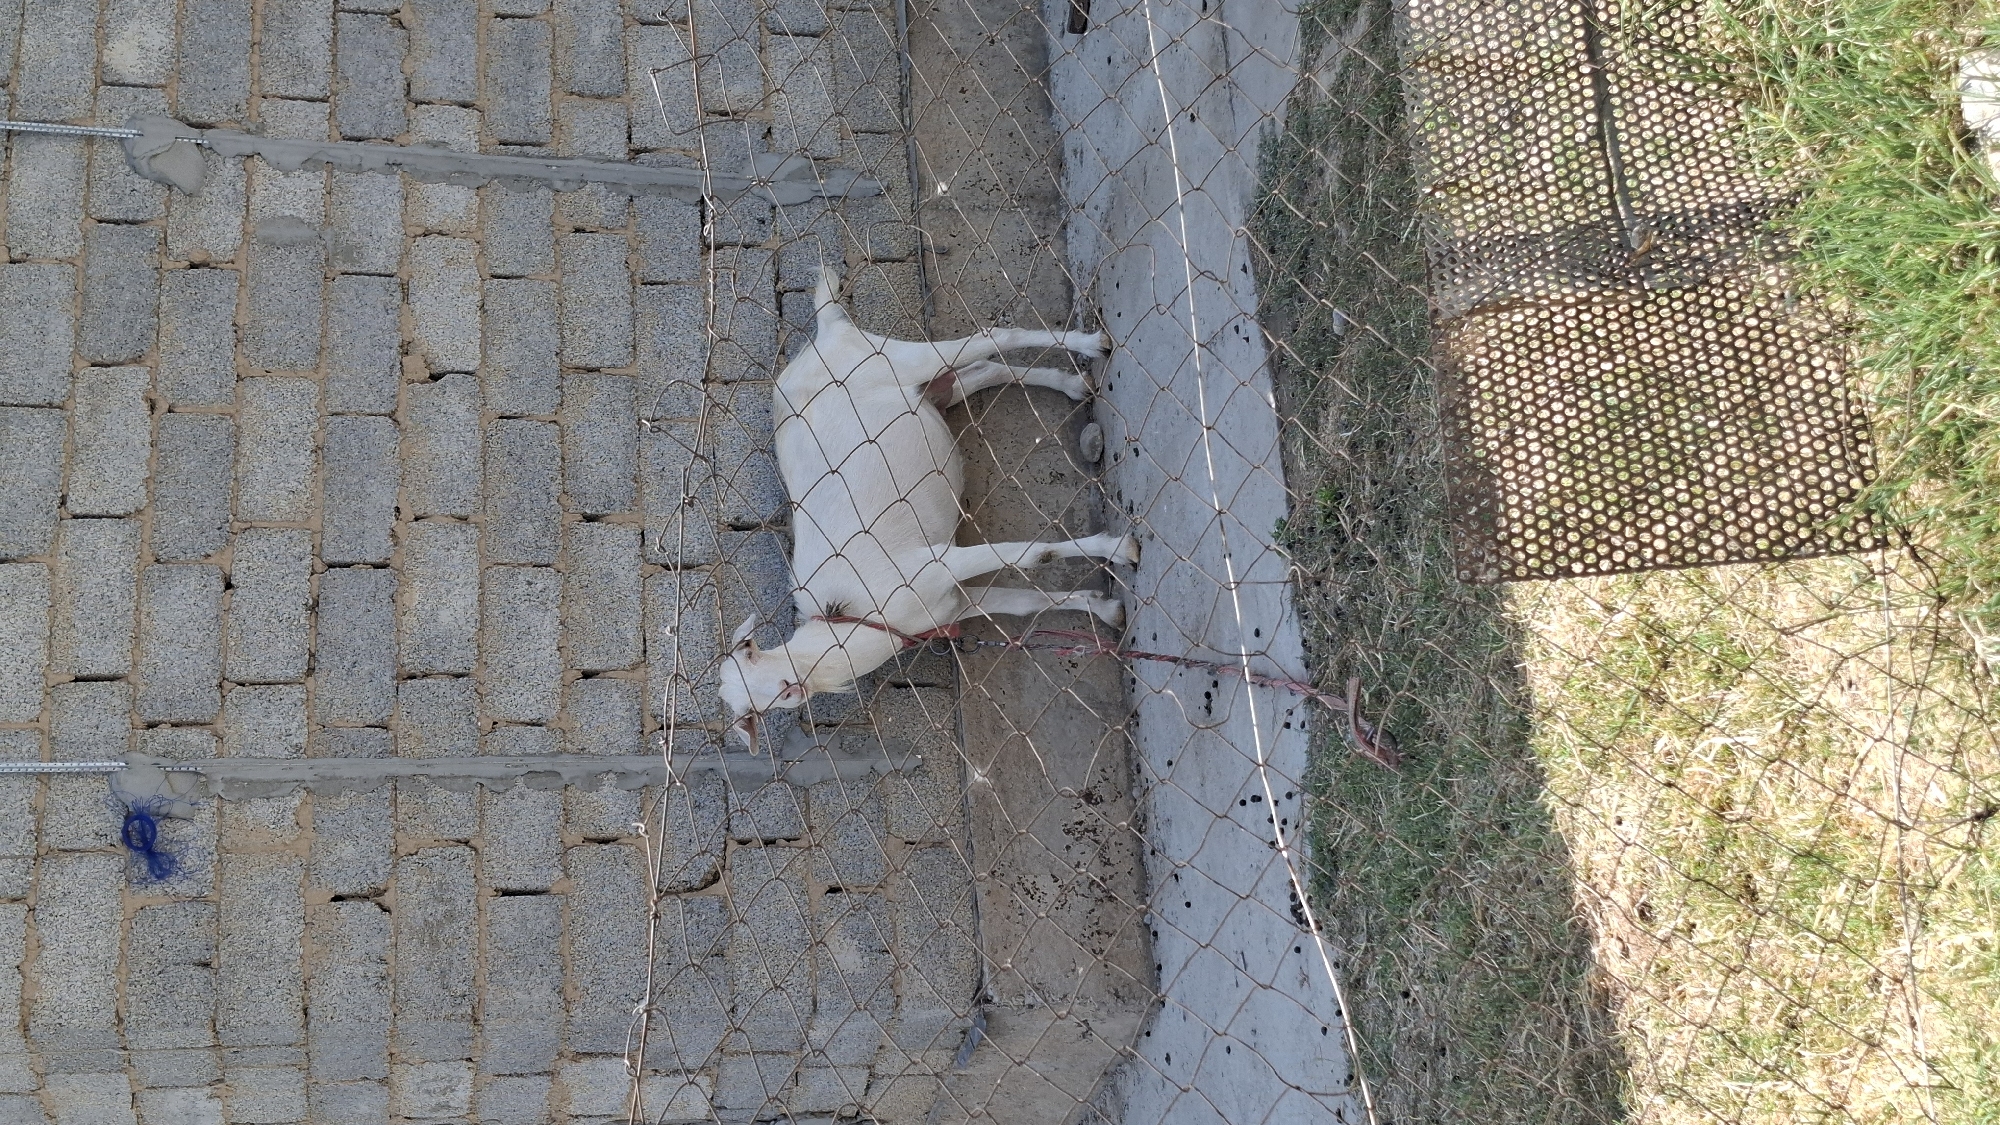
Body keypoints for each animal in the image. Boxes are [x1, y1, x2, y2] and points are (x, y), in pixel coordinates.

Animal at [717, 270, 1138, 751]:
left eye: (752, 654)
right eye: (755, 708)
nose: (794, 688)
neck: (857, 618)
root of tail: (827, 333)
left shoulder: (933, 564)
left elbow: (1033, 555)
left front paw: (1121, 549)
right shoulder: (952, 604)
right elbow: (1024, 603)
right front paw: (1105, 608)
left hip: (898, 358)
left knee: (993, 338)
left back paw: (1093, 345)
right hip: (927, 389)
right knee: (981, 370)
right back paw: (1073, 384)